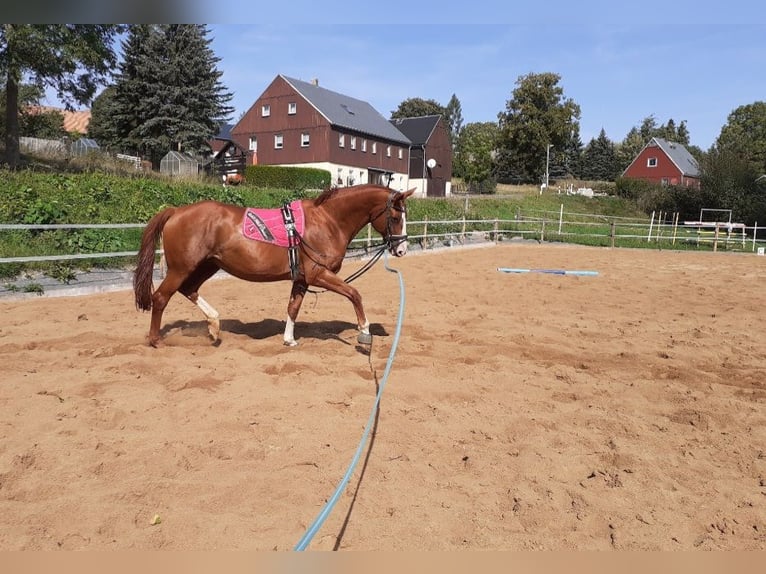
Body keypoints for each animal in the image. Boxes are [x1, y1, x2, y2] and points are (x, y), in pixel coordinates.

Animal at [133, 184, 415, 348]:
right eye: (395, 216)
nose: (401, 249)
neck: (328, 221)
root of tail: (176, 211)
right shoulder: (318, 275)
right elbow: (354, 294)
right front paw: (364, 331)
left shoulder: (301, 279)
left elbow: (293, 308)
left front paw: (289, 339)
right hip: (182, 268)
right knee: (161, 297)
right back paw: (156, 340)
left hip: (206, 266)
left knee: (188, 289)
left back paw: (214, 326)